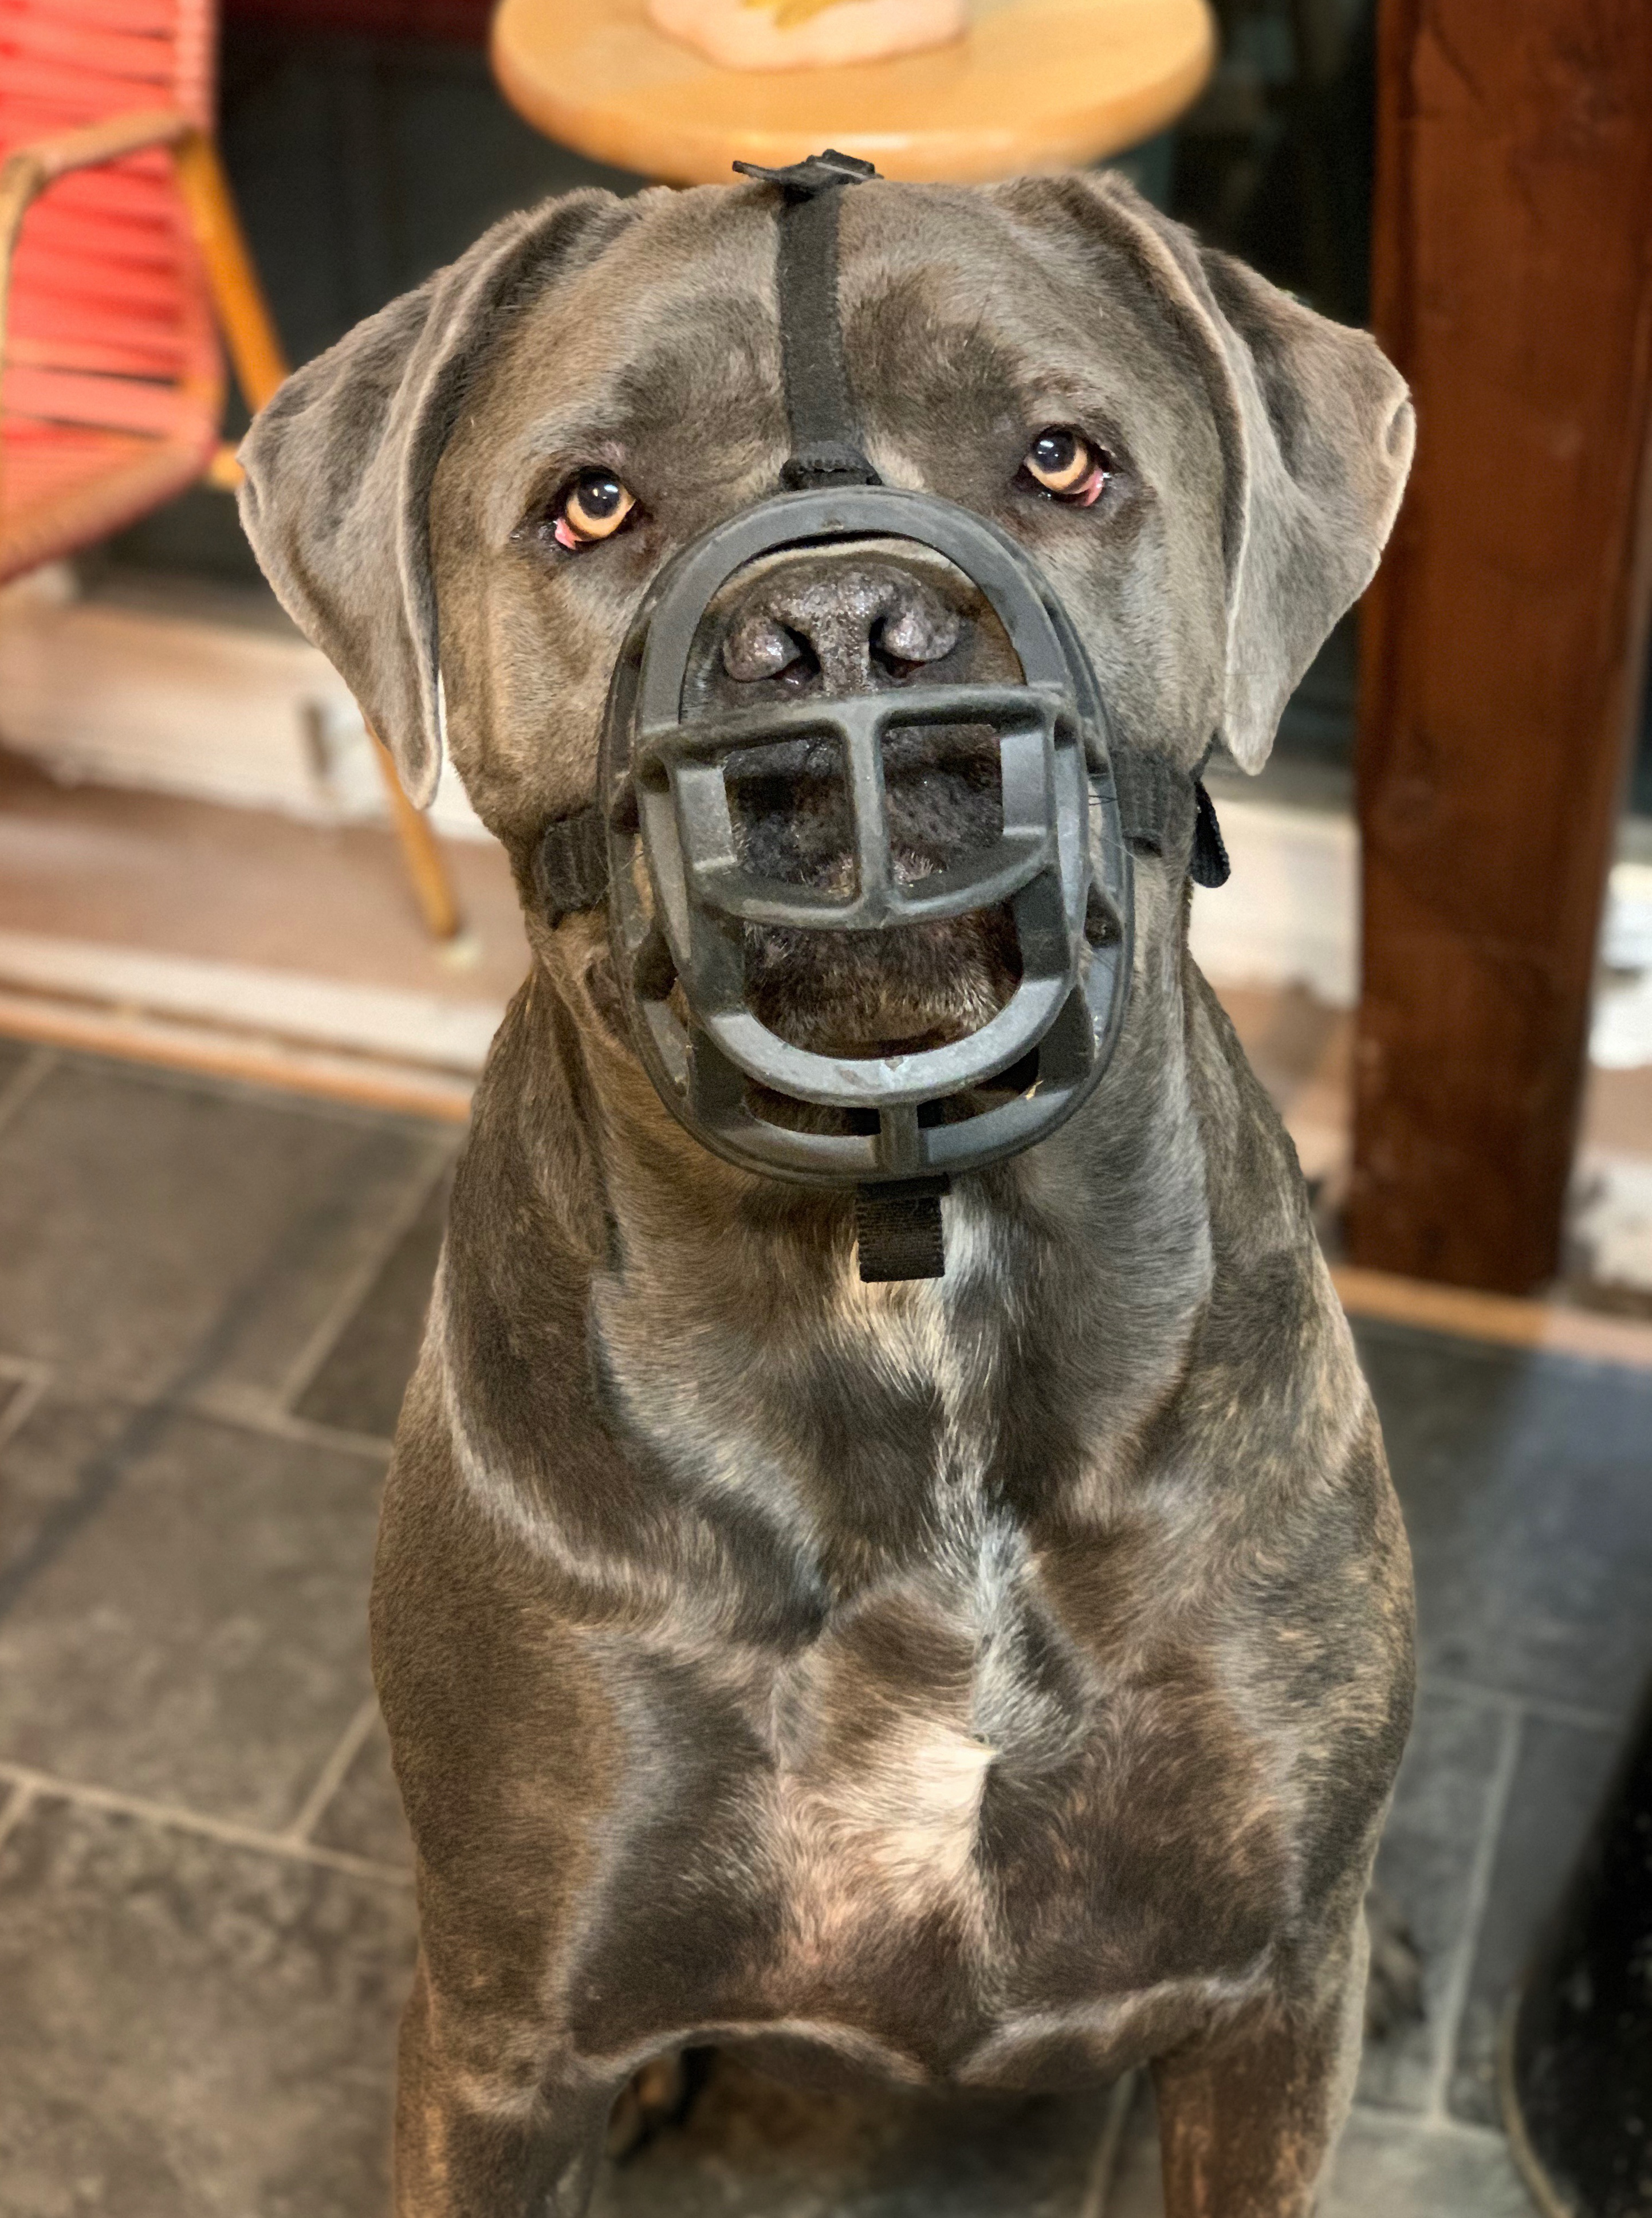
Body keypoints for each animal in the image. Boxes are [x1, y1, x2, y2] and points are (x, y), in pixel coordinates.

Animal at [238, 165, 1417, 2217]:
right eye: (593, 501)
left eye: (1061, 458)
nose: (842, 623)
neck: (907, 1299)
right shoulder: (494, 2041)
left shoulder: (1271, 2001)